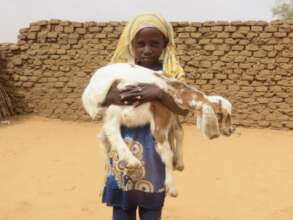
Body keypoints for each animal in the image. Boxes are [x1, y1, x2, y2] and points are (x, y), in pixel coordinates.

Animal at [81, 62, 219, 197]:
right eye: (218, 114)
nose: (215, 135)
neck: (171, 88)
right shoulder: (160, 119)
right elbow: (167, 153)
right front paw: (172, 188)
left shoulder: (172, 114)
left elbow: (179, 132)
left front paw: (179, 163)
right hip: (113, 105)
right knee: (111, 128)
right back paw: (132, 162)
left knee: (103, 138)